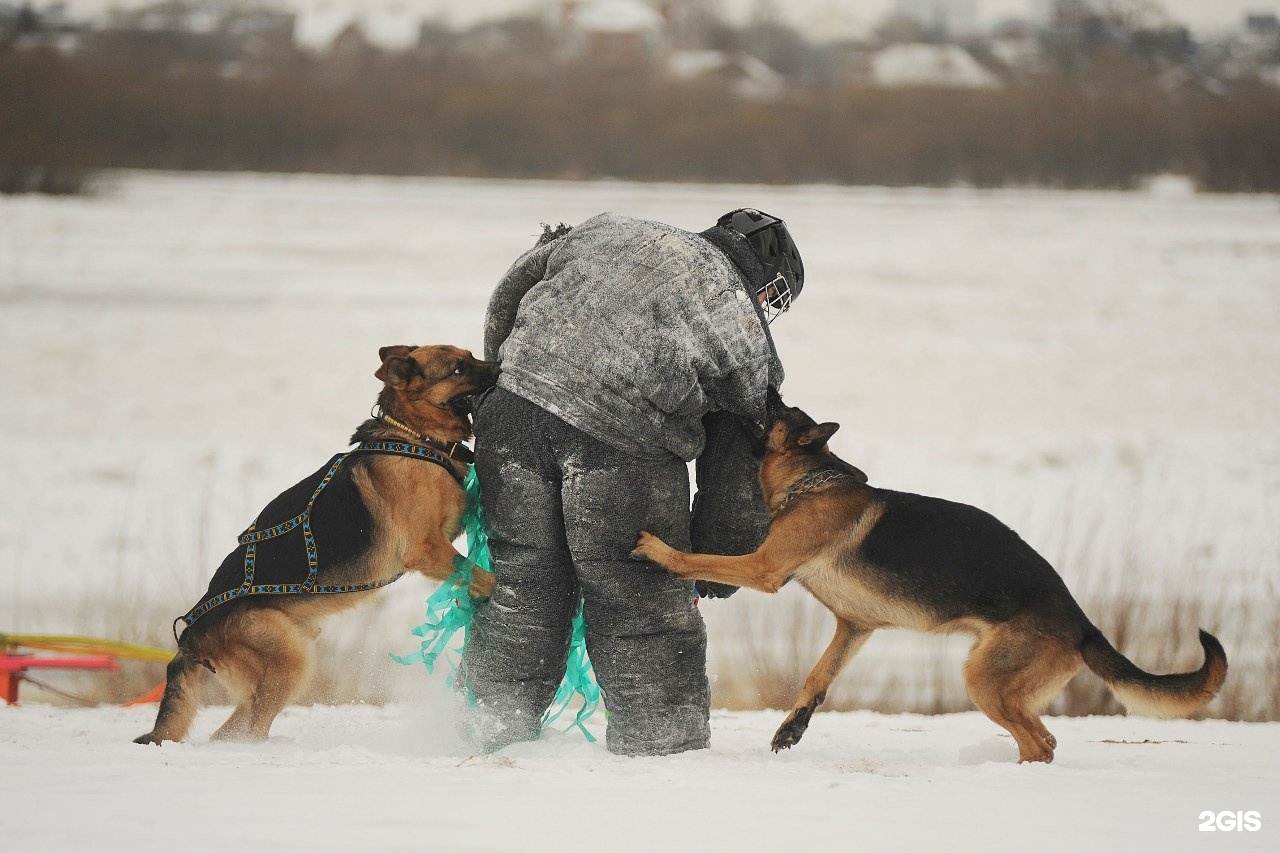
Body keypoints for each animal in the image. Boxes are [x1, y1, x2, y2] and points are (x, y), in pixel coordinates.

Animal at [135, 343, 494, 742]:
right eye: (458, 369)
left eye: (471, 355)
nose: (498, 367)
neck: (411, 437)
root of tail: (190, 636)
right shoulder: (428, 549)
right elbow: (482, 575)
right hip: (290, 663)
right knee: (251, 728)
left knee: (228, 732)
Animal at [634, 402, 1223, 758]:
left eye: (775, 409)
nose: (731, 399)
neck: (812, 479)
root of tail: (1081, 622)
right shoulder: (854, 627)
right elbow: (818, 677)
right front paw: (793, 725)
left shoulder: (763, 568)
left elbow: (702, 559)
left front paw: (659, 550)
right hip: (1002, 683)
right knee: (1046, 738)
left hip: (984, 680)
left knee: (1040, 743)